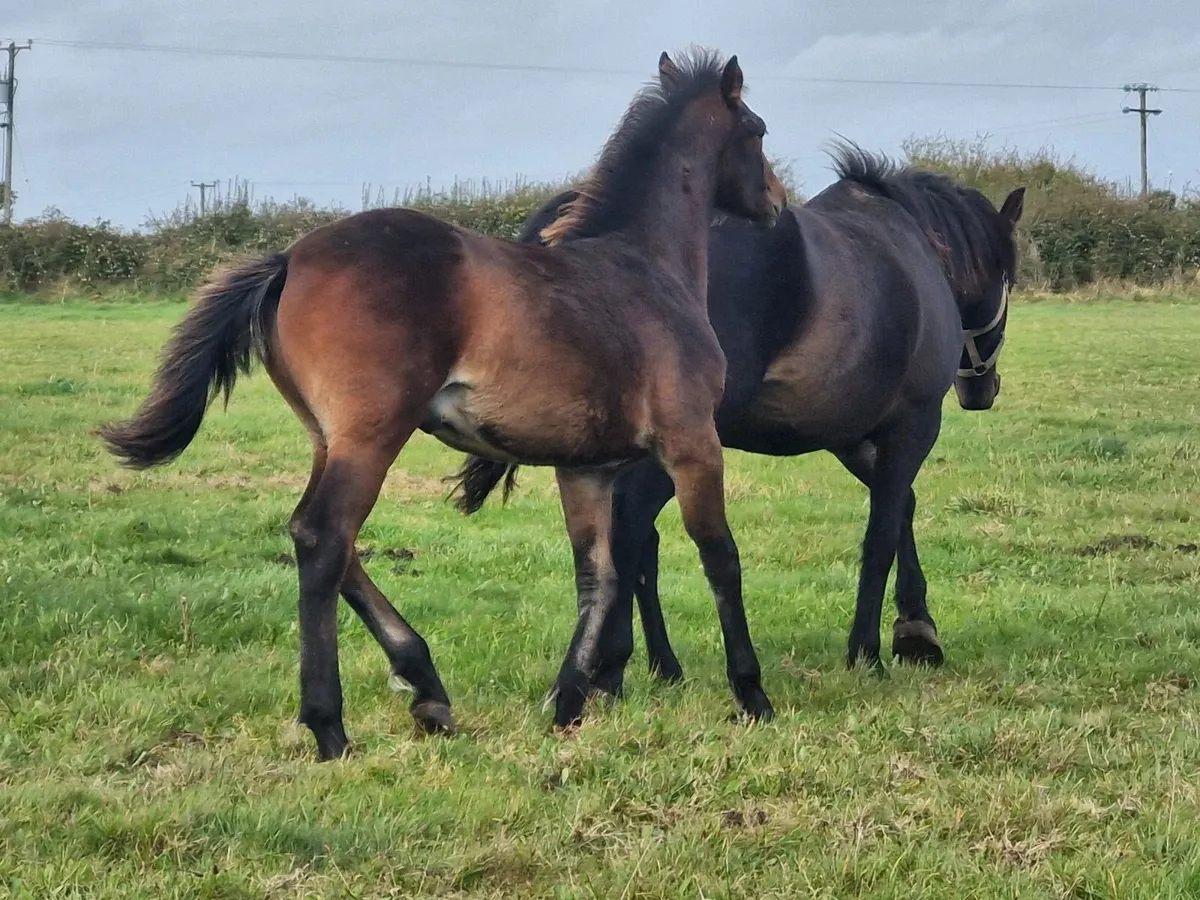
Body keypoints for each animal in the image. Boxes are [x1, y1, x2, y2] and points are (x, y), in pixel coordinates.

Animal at [98, 48, 788, 760]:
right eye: (758, 130)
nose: (776, 201)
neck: (649, 269)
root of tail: (289, 258)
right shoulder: (692, 443)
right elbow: (719, 557)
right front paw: (752, 695)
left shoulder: (585, 467)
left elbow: (597, 576)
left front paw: (567, 702)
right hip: (373, 433)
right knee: (324, 537)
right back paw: (331, 725)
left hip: (328, 437)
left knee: (323, 540)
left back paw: (426, 687)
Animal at [448, 143, 1025, 700]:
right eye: (1008, 278)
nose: (982, 389)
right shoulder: (912, 425)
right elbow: (881, 532)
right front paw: (871, 650)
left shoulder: (851, 438)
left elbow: (900, 507)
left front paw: (915, 629)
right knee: (634, 532)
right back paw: (614, 669)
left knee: (628, 542)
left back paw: (645, 666)